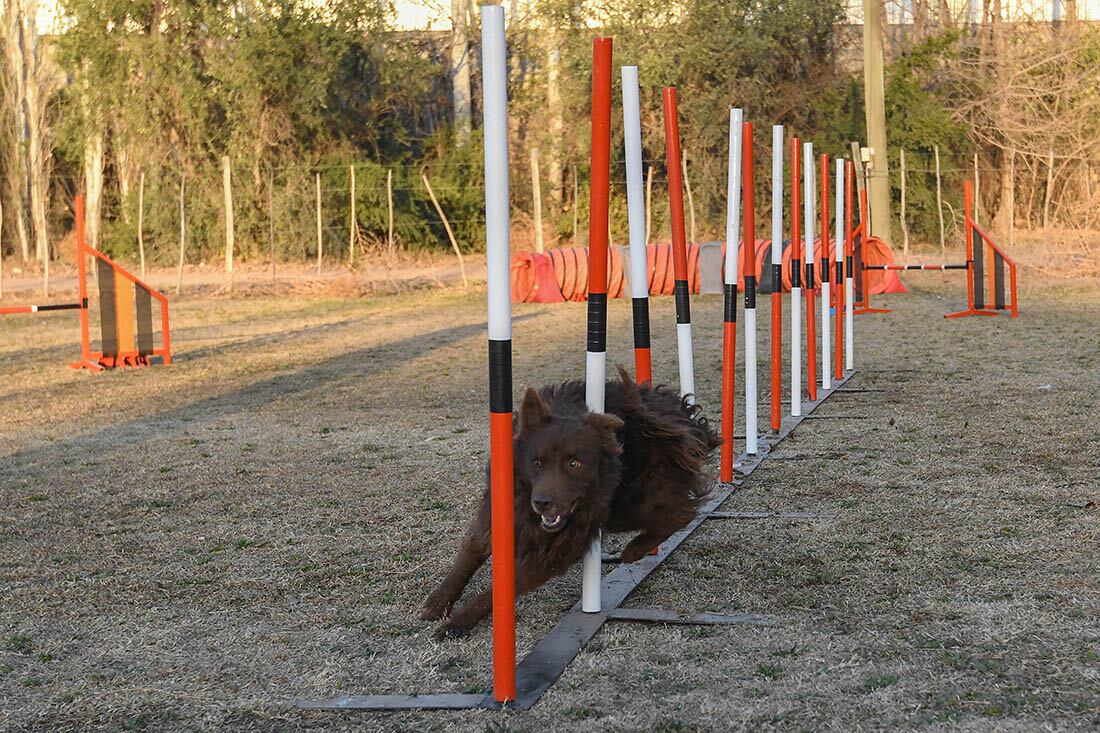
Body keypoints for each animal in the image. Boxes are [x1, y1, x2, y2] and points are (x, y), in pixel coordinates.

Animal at [415, 367, 717, 638]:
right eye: (537, 463)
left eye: (574, 464)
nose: (542, 503)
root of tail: (679, 413)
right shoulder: (496, 510)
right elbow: (471, 549)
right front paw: (439, 601)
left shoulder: (556, 551)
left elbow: (499, 589)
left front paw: (458, 622)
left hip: (628, 503)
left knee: (683, 511)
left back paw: (635, 549)